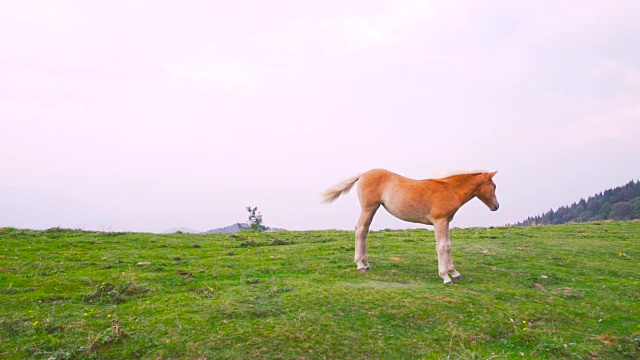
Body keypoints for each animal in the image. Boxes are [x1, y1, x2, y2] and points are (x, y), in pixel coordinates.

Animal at [322, 169, 498, 284]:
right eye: (494, 186)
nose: (496, 206)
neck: (449, 190)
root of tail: (363, 174)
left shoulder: (446, 222)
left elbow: (448, 245)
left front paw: (454, 272)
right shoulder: (439, 221)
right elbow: (442, 247)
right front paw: (445, 277)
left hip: (373, 208)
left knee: (364, 231)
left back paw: (366, 263)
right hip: (368, 207)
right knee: (360, 230)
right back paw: (360, 265)